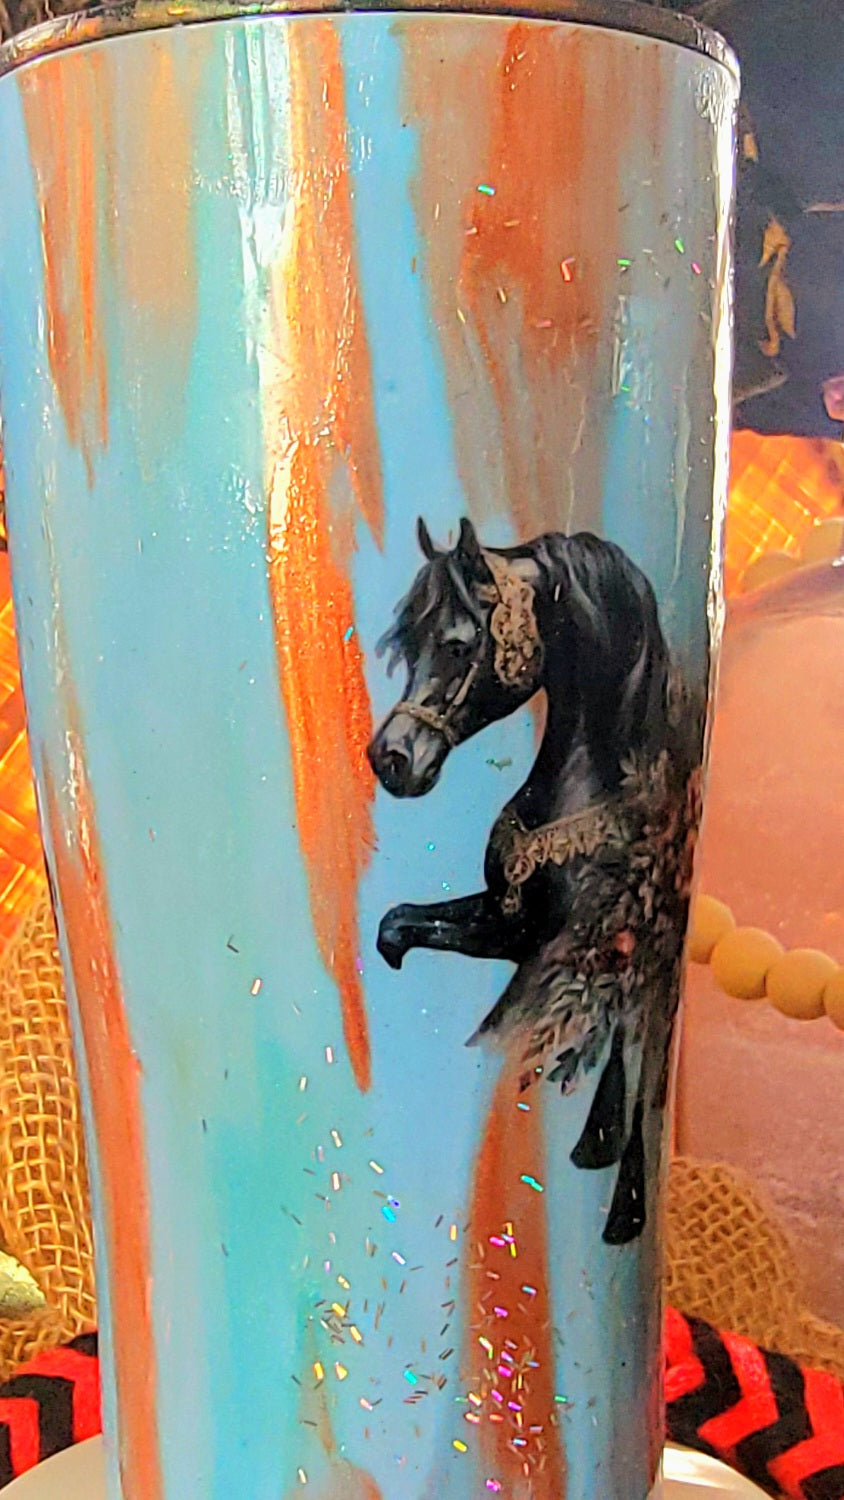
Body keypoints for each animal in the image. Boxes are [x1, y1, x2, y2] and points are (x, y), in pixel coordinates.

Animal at [367, 517, 702, 1245]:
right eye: (405, 641)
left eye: (459, 644)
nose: (391, 760)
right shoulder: (506, 921)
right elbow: (396, 924)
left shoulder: (556, 952)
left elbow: (503, 1027)